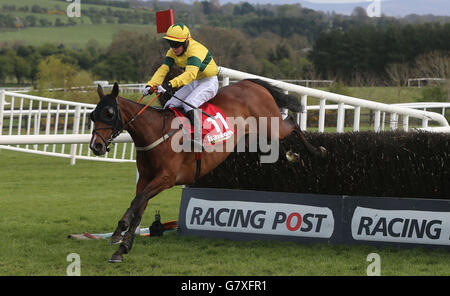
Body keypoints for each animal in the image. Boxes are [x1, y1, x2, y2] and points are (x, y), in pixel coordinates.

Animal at [89, 79, 326, 264]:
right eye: (92, 115)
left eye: (109, 113)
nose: (96, 146)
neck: (156, 133)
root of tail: (250, 83)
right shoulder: (146, 179)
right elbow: (139, 207)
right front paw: (122, 248)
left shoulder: (166, 178)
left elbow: (136, 202)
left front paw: (118, 231)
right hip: (258, 133)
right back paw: (293, 156)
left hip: (271, 125)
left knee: (292, 122)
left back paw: (317, 151)